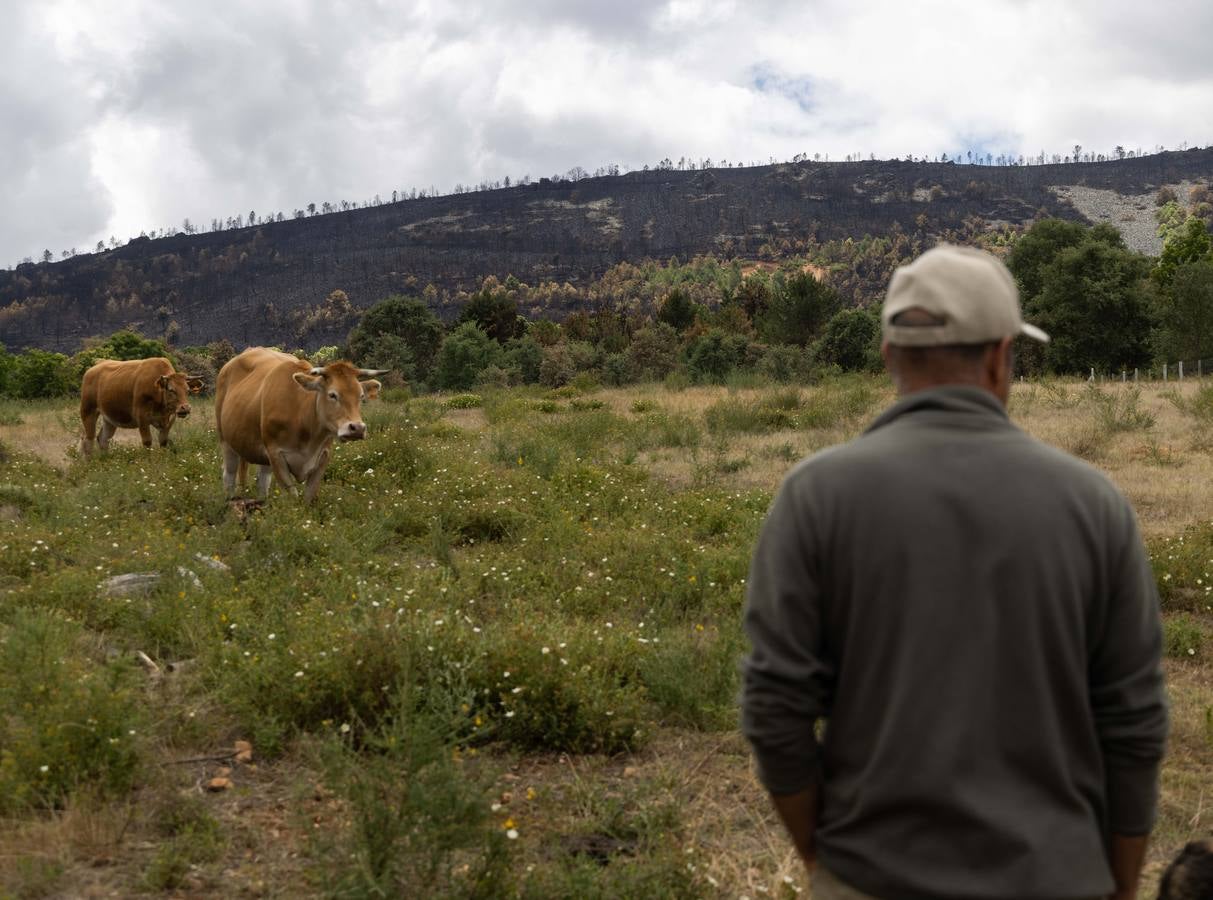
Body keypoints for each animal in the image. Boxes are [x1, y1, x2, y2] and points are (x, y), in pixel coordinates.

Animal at [215, 349, 385, 504]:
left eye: (361, 396)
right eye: (332, 394)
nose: (357, 428)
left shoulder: (323, 456)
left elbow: (309, 496)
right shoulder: (276, 454)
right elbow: (292, 497)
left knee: (262, 481)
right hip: (226, 441)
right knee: (229, 476)